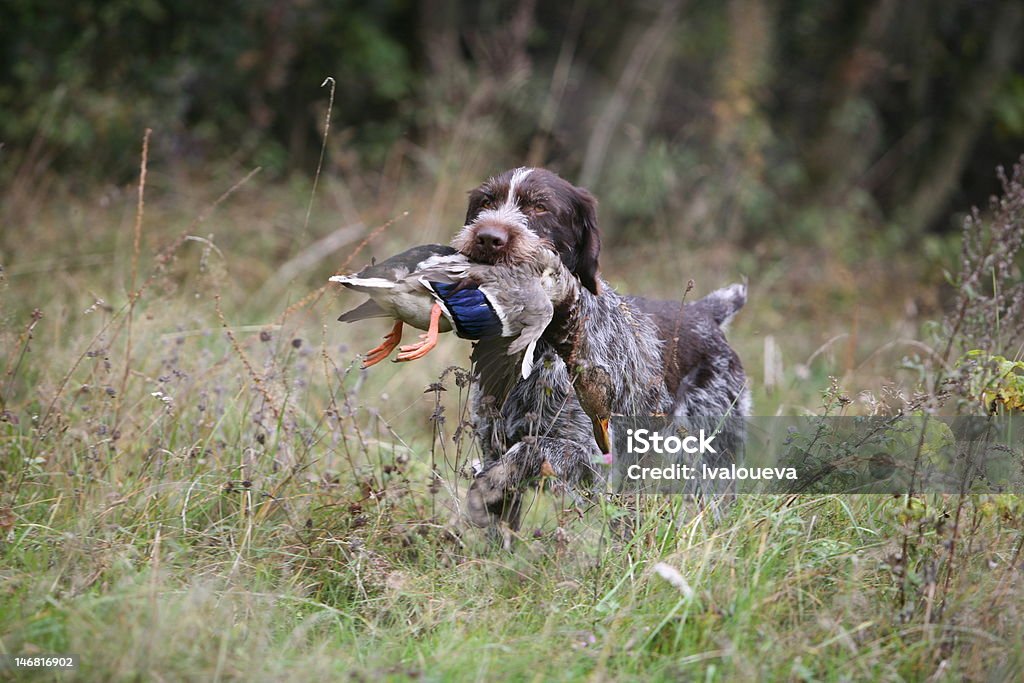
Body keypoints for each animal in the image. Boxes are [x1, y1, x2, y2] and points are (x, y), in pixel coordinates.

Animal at [452, 167, 749, 532]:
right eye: (486, 202)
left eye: (540, 207)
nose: (488, 237)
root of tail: (706, 312)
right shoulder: (493, 440)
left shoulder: (590, 458)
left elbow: (528, 450)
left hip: (708, 460)